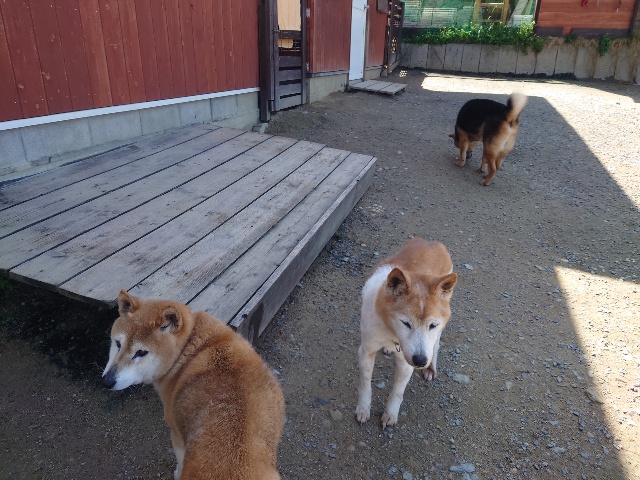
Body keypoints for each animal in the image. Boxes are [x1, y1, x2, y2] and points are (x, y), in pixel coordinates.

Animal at [102, 291, 285, 480]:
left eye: (141, 352)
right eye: (118, 343)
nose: (107, 381)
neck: (188, 347)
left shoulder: (177, 435)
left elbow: (180, 461)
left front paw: (176, 472)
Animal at [355, 238, 457, 428]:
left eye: (432, 325)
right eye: (406, 323)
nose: (420, 361)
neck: (392, 332)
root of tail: (433, 243)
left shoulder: (406, 362)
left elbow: (397, 392)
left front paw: (390, 414)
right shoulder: (366, 350)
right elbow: (365, 384)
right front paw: (363, 409)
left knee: (436, 346)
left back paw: (431, 367)